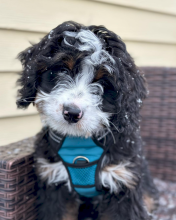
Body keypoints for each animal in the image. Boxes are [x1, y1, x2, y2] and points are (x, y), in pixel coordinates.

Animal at [17, 21, 159, 220]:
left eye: (104, 83)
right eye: (62, 70)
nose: (71, 113)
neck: (79, 142)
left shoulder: (122, 180)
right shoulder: (53, 180)